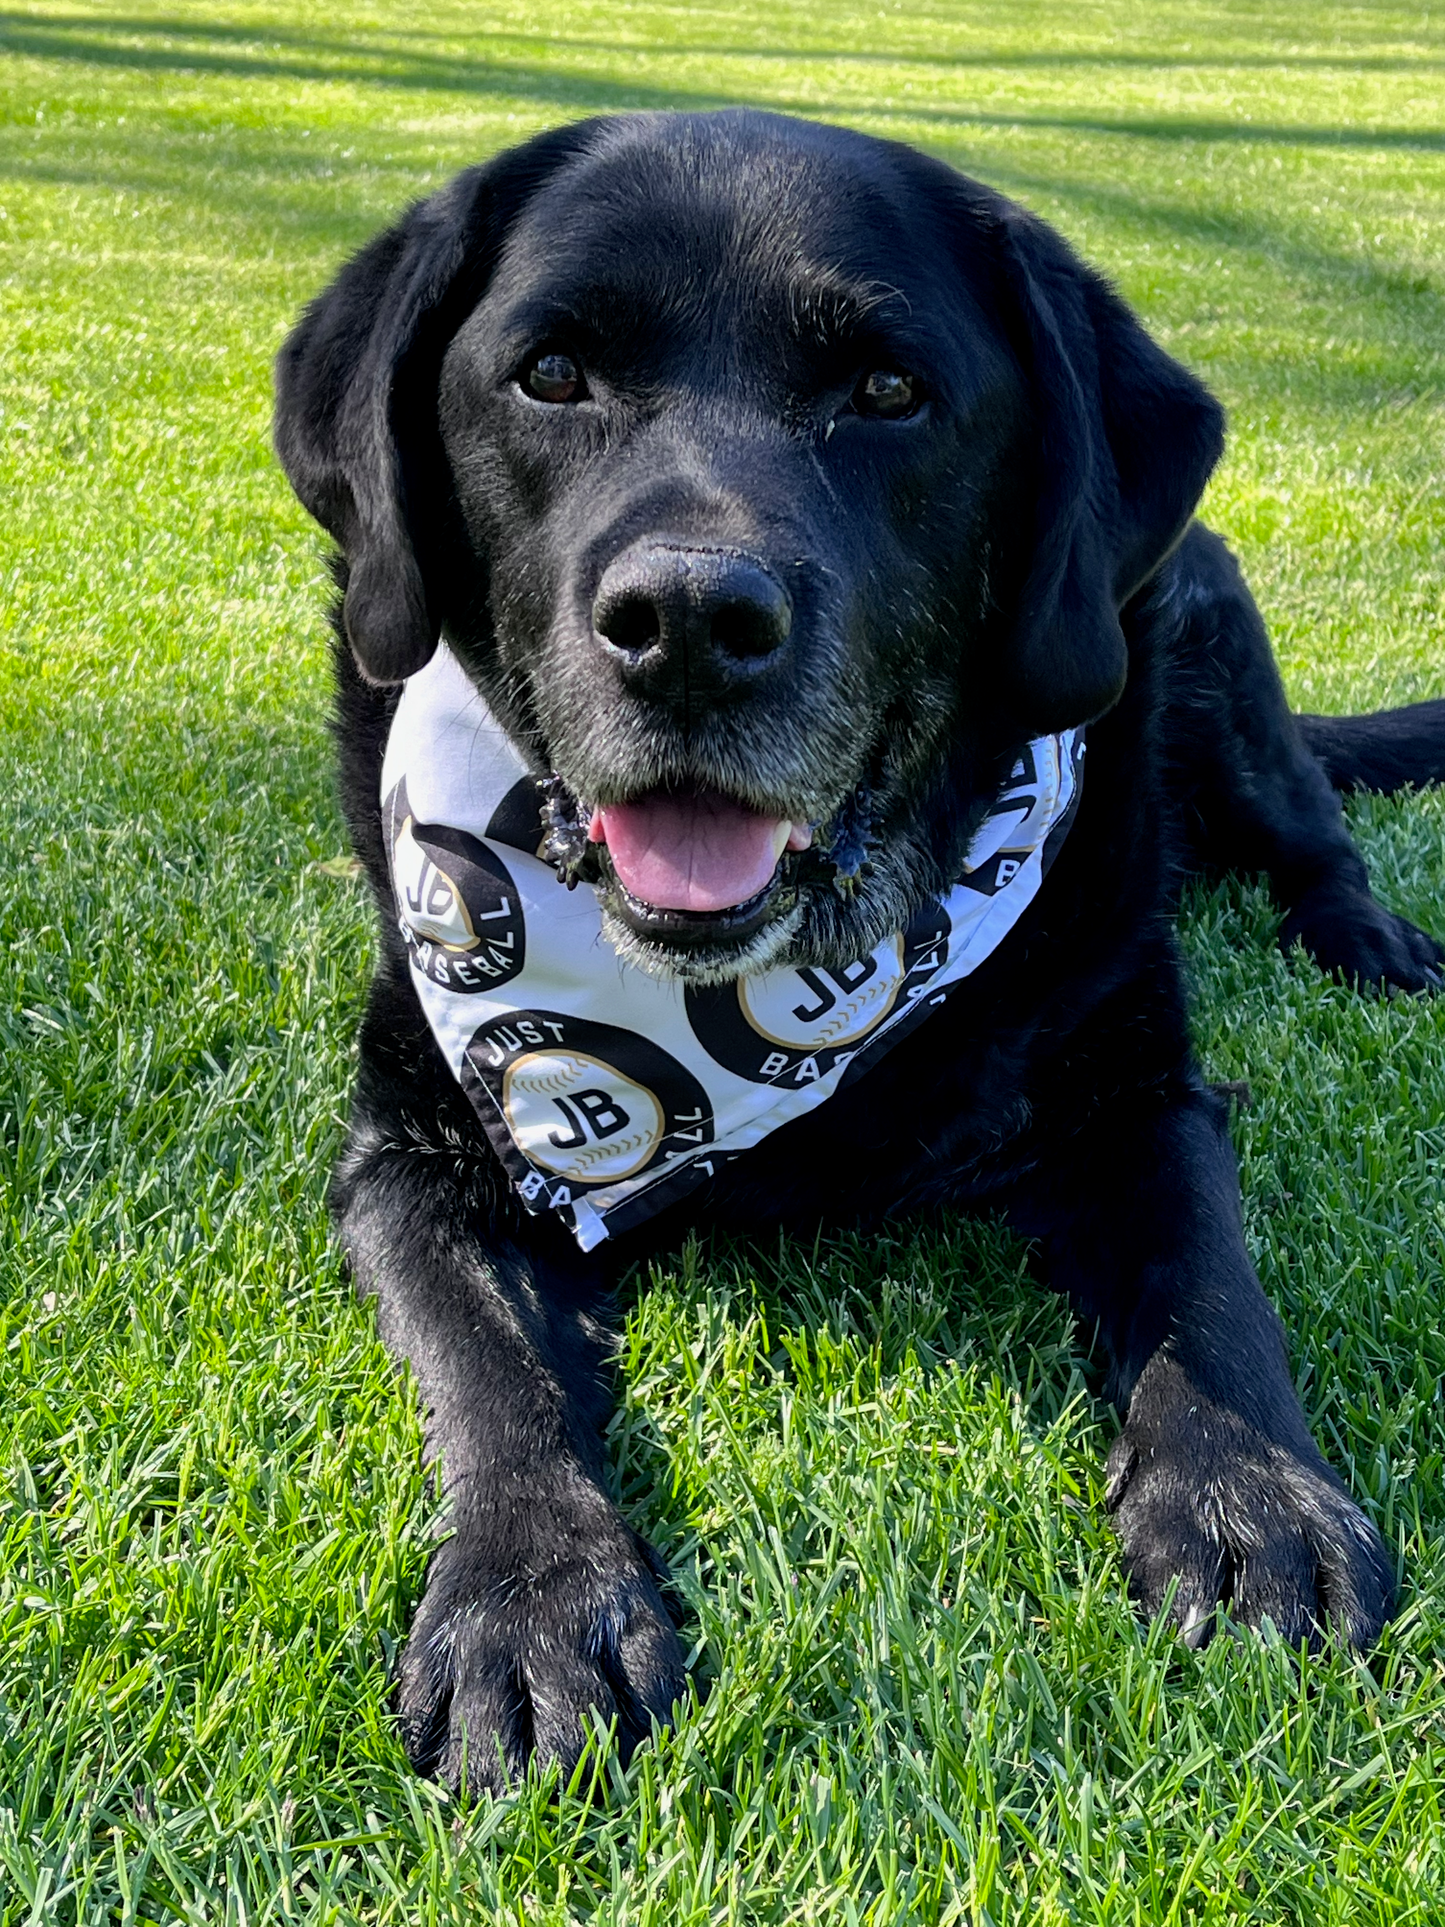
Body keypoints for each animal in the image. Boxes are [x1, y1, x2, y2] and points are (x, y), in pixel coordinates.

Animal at [273, 109, 1445, 1788]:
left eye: (889, 392)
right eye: (549, 373)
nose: (688, 622)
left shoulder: (1138, 1086)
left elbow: (1204, 1285)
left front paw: (1249, 1499)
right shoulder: (406, 1151)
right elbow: (491, 1371)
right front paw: (525, 1596)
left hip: (1223, 675)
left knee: (1314, 831)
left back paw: (1363, 933)